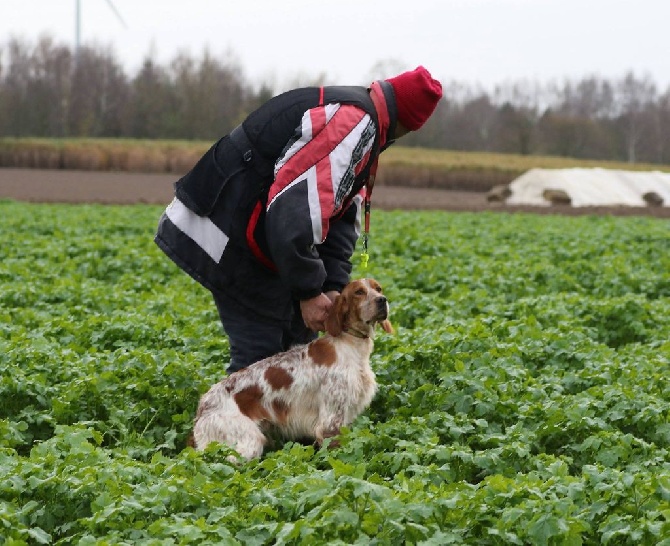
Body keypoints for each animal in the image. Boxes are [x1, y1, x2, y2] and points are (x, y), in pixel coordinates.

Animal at [190, 276, 394, 460]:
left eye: (378, 288)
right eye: (359, 292)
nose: (382, 300)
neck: (349, 343)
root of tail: (203, 406)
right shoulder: (330, 420)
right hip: (249, 440)